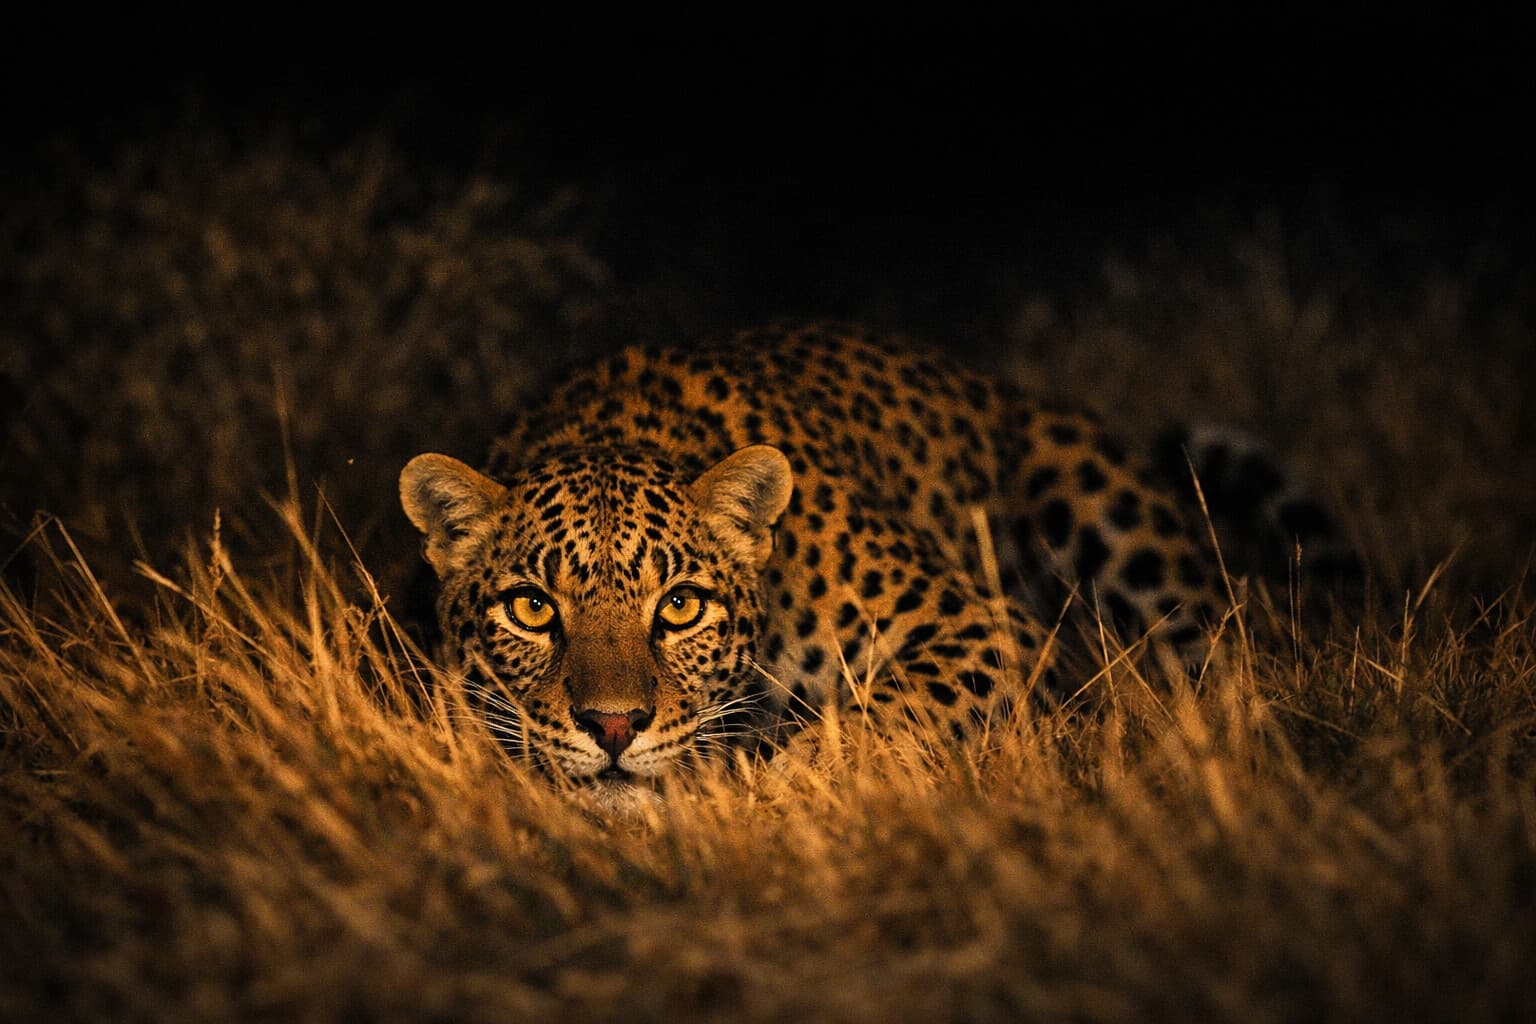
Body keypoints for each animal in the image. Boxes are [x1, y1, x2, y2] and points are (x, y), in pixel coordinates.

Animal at [400, 322, 1351, 787]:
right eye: (532, 608)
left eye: (680, 606)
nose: (612, 728)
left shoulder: (977, 623)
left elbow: (890, 710)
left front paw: (790, 788)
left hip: (1114, 522)